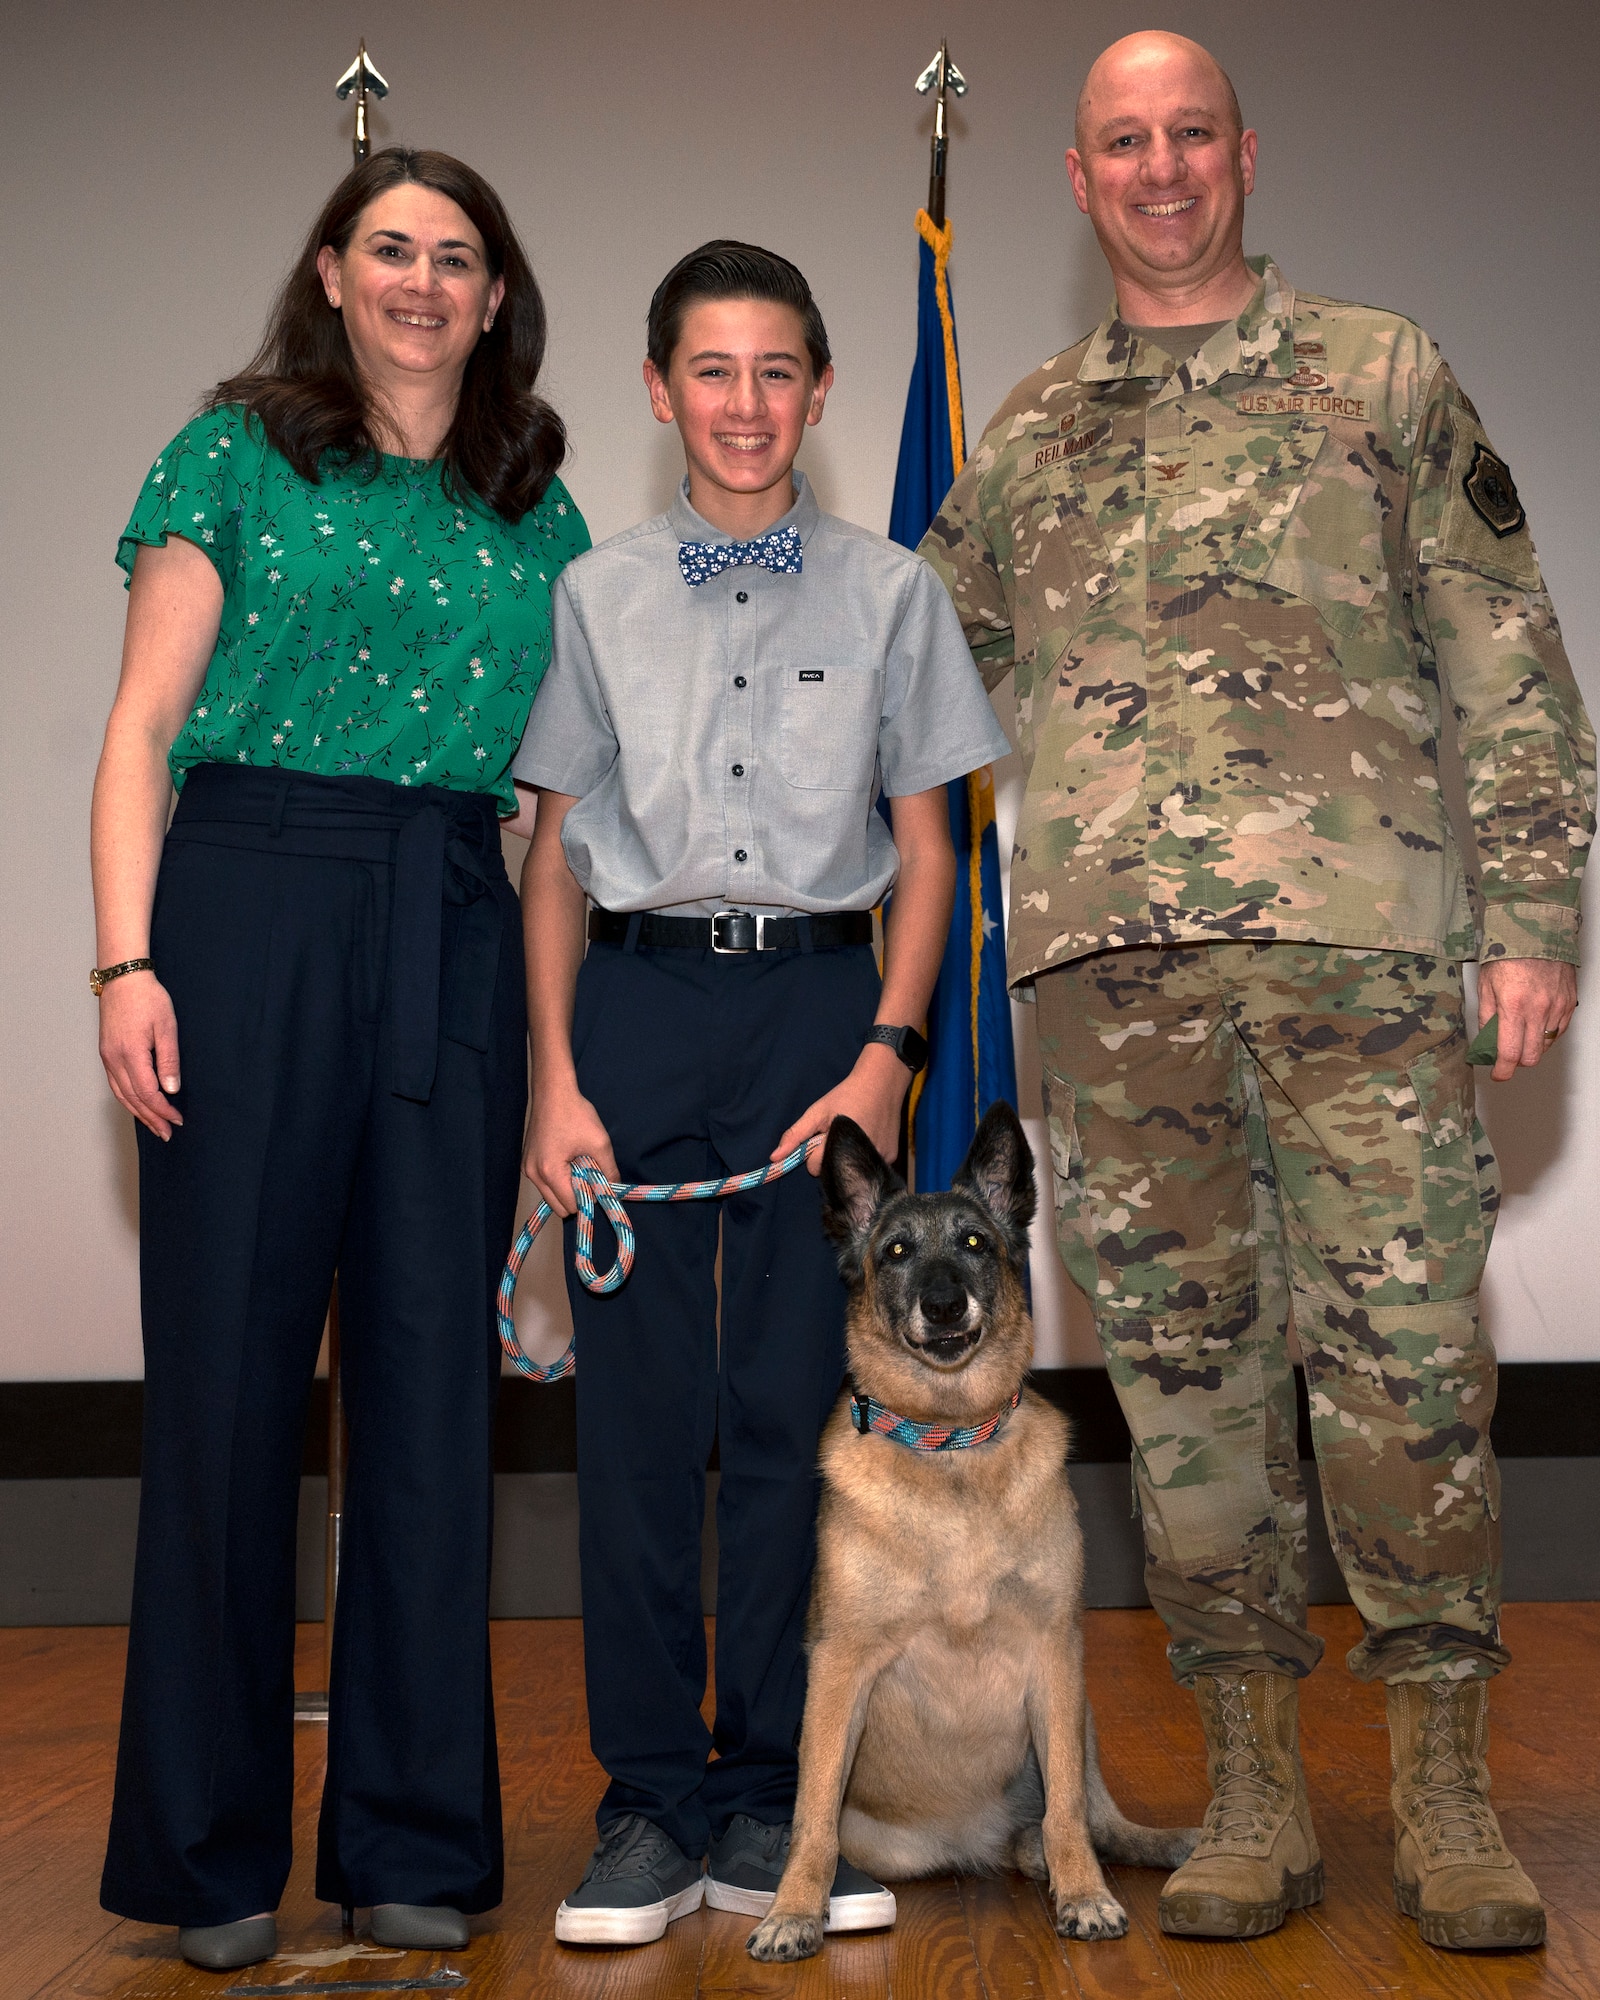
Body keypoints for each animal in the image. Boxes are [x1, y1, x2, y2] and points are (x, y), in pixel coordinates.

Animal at [744, 1104, 1192, 1960]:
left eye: (976, 1244)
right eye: (896, 1252)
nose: (945, 1304)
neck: (950, 1446)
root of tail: (969, 1841)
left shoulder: (1055, 1654)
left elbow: (1067, 1811)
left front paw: (1084, 1894)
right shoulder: (840, 1668)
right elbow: (811, 1819)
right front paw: (793, 1910)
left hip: (1079, 1718)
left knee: (1085, 1818)